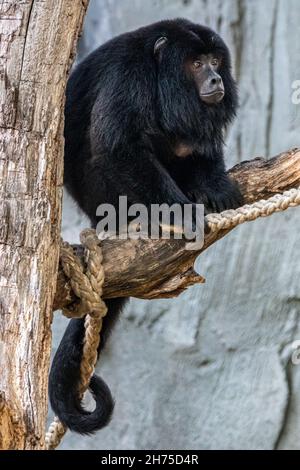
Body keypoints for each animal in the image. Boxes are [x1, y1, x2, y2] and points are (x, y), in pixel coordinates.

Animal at [48, 19, 243, 436]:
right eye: (197, 63)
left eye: (215, 60)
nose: (216, 78)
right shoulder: (128, 76)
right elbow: (117, 145)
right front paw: (181, 212)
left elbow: (200, 145)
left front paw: (215, 185)